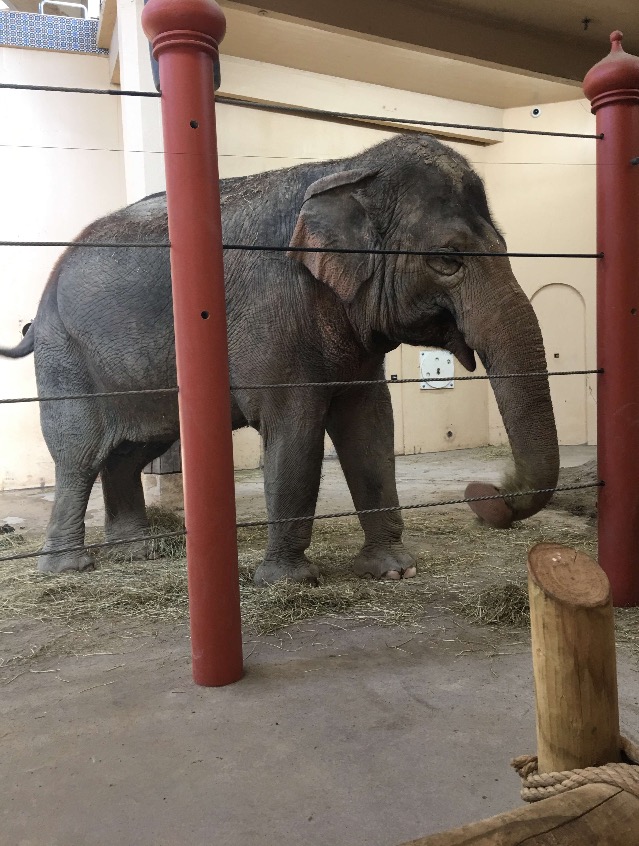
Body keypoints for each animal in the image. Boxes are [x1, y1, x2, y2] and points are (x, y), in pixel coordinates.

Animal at [0, 133, 559, 584]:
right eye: (447, 259)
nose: (484, 492)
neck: (346, 169)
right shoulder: (274, 314)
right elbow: (296, 430)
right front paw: (289, 581)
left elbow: (371, 427)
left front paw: (395, 570)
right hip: (65, 353)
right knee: (79, 455)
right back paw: (67, 568)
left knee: (132, 448)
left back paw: (140, 551)